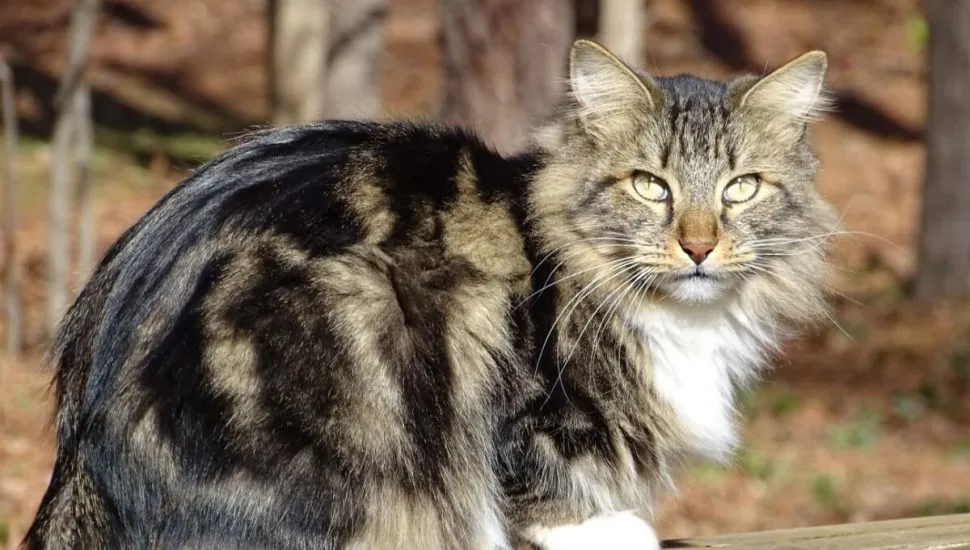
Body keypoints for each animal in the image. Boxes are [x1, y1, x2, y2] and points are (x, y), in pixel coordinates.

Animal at [24, 39, 837, 549]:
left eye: (741, 189)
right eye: (649, 185)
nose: (698, 246)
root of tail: (80, 457)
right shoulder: (524, 393)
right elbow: (538, 477)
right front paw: (608, 528)